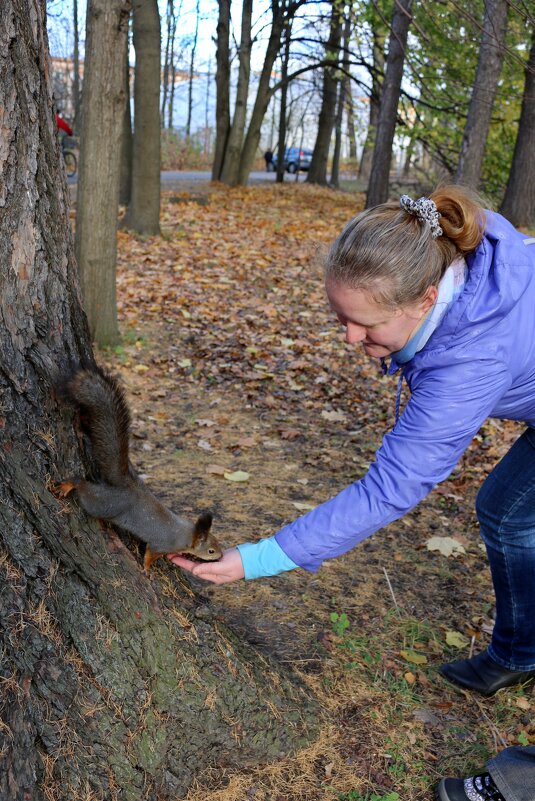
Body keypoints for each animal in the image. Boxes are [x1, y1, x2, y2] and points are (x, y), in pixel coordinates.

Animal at [59, 366, 223, 572]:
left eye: (217, 542)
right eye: (210, 550)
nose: (221, 555)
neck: (186, 533)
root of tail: (126, 484)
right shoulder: (160, 544)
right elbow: (150, 554)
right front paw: (147, 569)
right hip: (103, 504)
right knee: (84, 488)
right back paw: (70, 484)